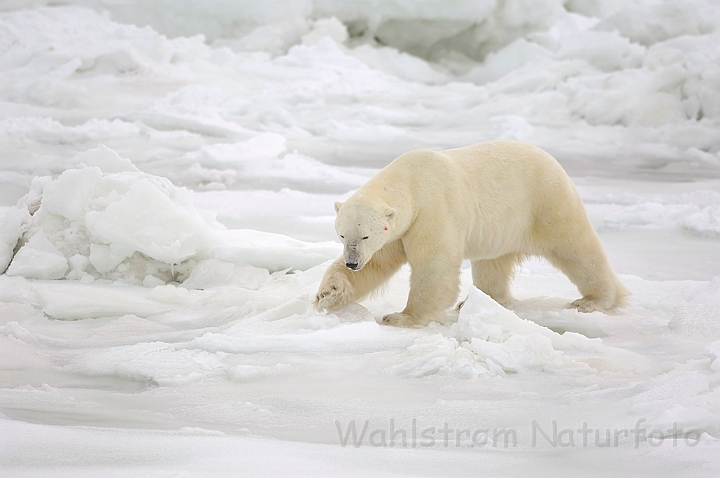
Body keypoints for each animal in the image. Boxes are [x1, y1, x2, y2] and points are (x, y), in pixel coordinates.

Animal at [314, 140, 624, 326]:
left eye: (365, 235)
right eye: (342, 235)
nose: (352, 262)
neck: (411, 181)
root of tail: (553, 161)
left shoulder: (433, 209)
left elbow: (434, 264)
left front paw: (402, 318)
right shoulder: (399, 231)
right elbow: (378, 263)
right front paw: (327, 293)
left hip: (545, 202)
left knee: (575, 248)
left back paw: (594, 300)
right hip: (503, 225)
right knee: (492, 264)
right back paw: (476, 302)